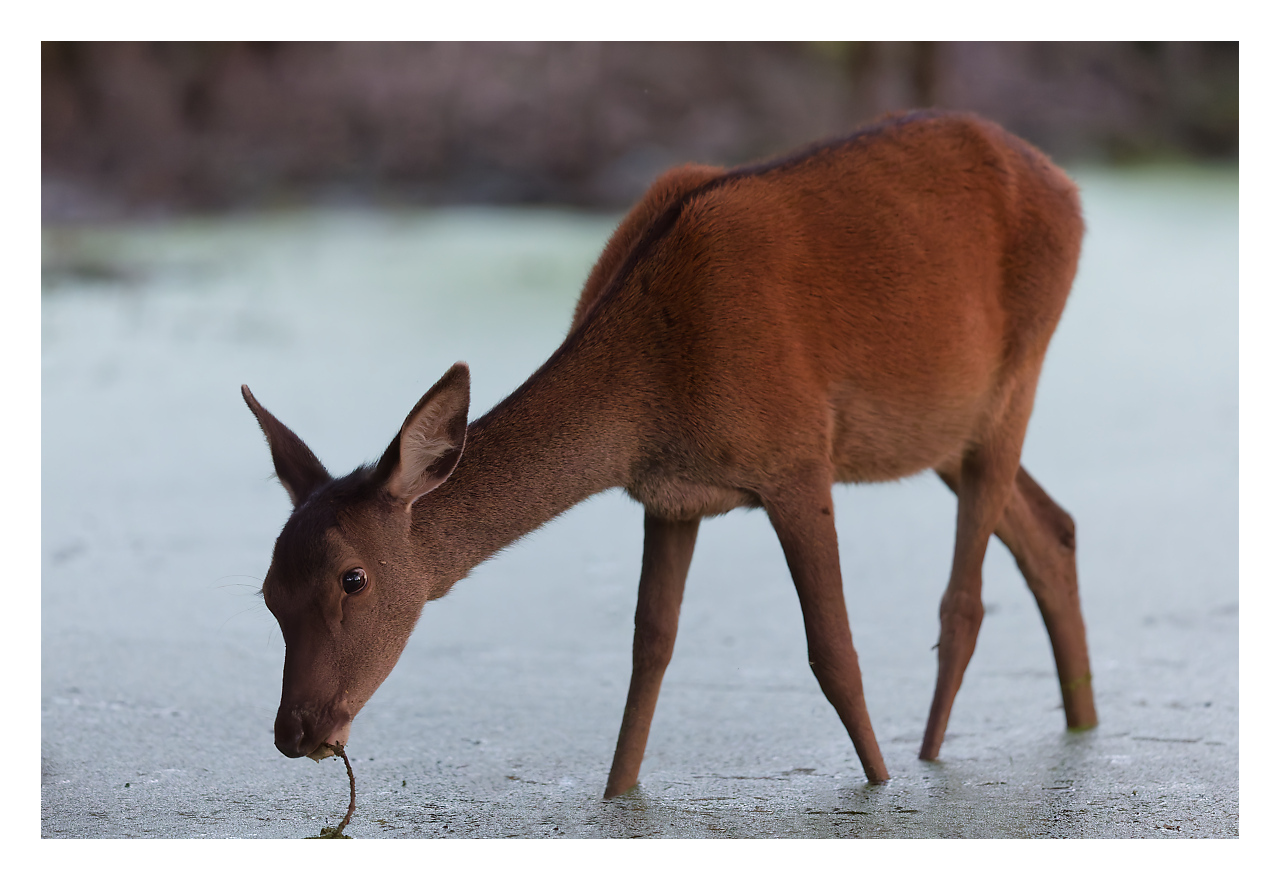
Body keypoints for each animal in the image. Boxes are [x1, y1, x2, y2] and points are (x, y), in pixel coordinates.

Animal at [242, 109, 1097, 798]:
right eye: (267, 593)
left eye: (353, 578)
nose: (296, 730)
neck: (651, 396)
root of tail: (1070, 187)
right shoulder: (669, 495)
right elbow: (649, 648)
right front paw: (616, 797)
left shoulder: (796, 456)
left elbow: (834, 654)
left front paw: (880, 788)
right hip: (942, 429)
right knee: (1051, 529)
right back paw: (1081, 723)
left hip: (1018, 371)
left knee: (966, 598)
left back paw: (932, 759)